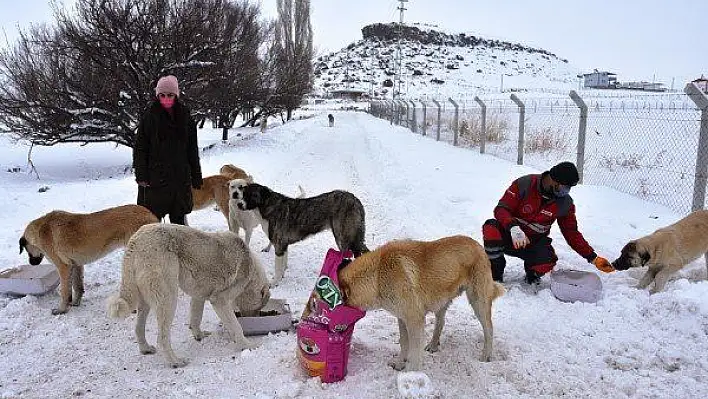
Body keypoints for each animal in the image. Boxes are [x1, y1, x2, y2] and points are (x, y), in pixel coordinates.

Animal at [19, 206, 158, 316]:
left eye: (26, 250)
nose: (32, 263)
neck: (41, 229)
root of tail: (151, 215)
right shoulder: (76, 265)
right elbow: (77, 286)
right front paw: (75, 303)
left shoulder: (63, 267)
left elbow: (64, 291)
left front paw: (62, 310)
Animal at [106, 223, 270, 368]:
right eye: (258, 307)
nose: (255, 318)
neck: (251, 271)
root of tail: (135, 241)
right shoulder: (220, 300)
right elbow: (236, 327)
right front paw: (247, 346)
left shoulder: (199, 295)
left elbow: (196, 317)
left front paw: (199, 335)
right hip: (168, 297)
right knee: (162, 338)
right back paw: (175, 362)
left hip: (145, 299)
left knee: (139, 328)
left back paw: (146, 348)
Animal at [234, 183, 368, 286]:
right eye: (243, 194)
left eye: (252, 195)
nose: (239, 204)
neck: (266, 205)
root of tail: (355, 200)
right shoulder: (283, 245)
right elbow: (283, 265)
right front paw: (281, 278)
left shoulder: (279, 245)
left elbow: (277, 268)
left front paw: (274, 283)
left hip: (343, 238)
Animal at [338, 234, 504, 372]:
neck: (377, 275)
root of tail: (478, 245)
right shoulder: (402, 318)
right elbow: (404, 344)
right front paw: (400, 364)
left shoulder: (414, 320)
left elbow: (414, 352)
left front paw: (411, 374)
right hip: (441, 301)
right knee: (441, 322)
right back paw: (433, 345)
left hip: (478, 303)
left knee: (489, 329)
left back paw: (486, 356)